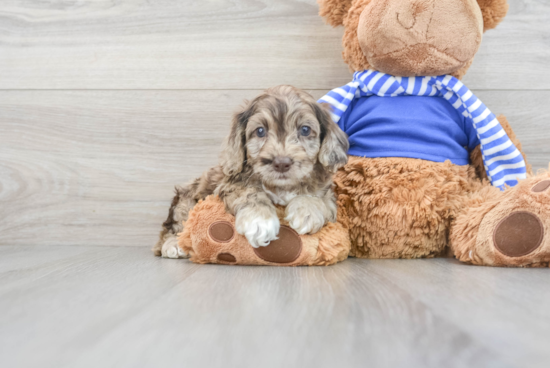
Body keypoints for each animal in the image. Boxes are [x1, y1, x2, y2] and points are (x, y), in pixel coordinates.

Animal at [152, 86, 350, 258]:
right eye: (260, 131)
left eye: (305, 129)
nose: (281, 163)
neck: (281, 186)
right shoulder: (231, 183)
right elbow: (250, 192)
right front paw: (259, 220)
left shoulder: (327, 193)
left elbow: (317, 196)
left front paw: (306, 212)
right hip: (184, 203)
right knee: (172, 227)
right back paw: (173, 244)